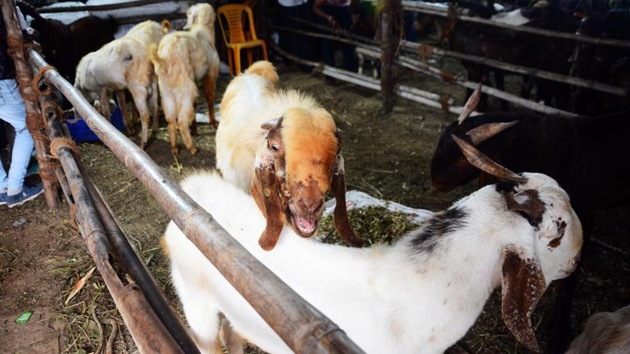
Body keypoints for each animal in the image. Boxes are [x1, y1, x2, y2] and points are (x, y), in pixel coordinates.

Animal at [74, 20, 165, 148]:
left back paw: (143, 143)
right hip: (153, 82)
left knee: (145, 115)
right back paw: (155, 131)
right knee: (154, 107)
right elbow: (122, 106)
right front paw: (130, 129)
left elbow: (106, 109)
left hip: (137, 86)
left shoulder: (101, 88)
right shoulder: (118, 88)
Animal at [151, 2, 222, 155]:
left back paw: (174, 147)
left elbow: (195, 105)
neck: (203, 32)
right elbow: (209, 98)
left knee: (171, 121)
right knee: (181, 121)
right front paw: (214, 122)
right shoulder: (210, 75)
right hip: (185, 89)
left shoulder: (195, 79)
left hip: (167, 92)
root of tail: (164, 58)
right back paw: (192, 148)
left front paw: (194, 128)